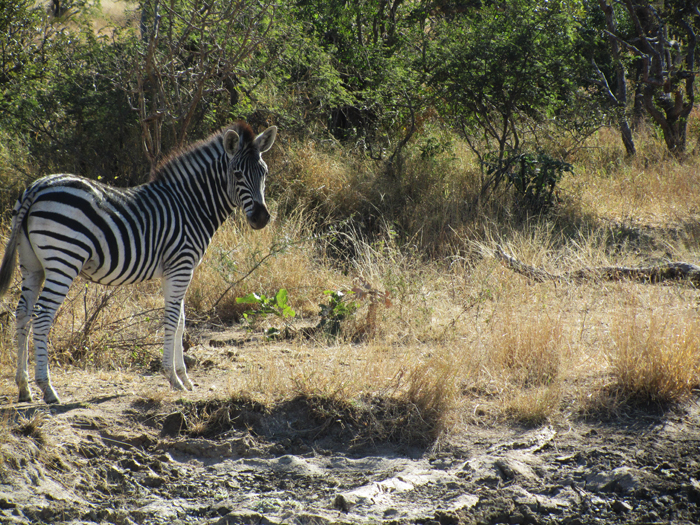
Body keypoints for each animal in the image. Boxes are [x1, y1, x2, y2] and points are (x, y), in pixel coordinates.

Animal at [0, 121, 277, 404]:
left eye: (264, 173)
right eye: (237, 174)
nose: (262, 218)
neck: (191, 205)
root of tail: (37, 186)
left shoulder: (175, 271)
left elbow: (181, 321)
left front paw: (185, 378)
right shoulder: (181, 266)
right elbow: (172, 320)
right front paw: (173, 378)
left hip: (32, 264)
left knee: (22, 313)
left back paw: (24, 387)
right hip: (63, 260)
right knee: (42, 315)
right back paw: (47, 388)